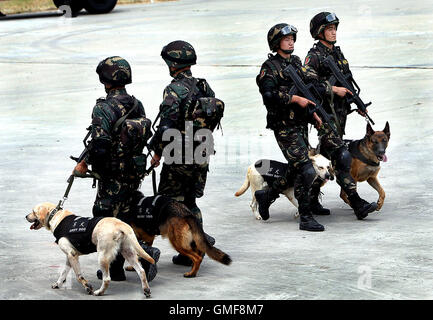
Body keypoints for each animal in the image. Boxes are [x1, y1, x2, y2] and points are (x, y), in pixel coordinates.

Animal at [25, 202, 155, 298]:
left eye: (33, 211)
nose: (25, 216)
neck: (55, 216)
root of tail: (120, 224)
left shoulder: (72, 255)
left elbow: (79, 276)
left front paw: (87, 286)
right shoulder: (69, 257)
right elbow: (63, 273)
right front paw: (58, 284)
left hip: (102, 256)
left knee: (107, 279)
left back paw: (99, 292)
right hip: (128, 252)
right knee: (141, 271)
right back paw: (146, 289)